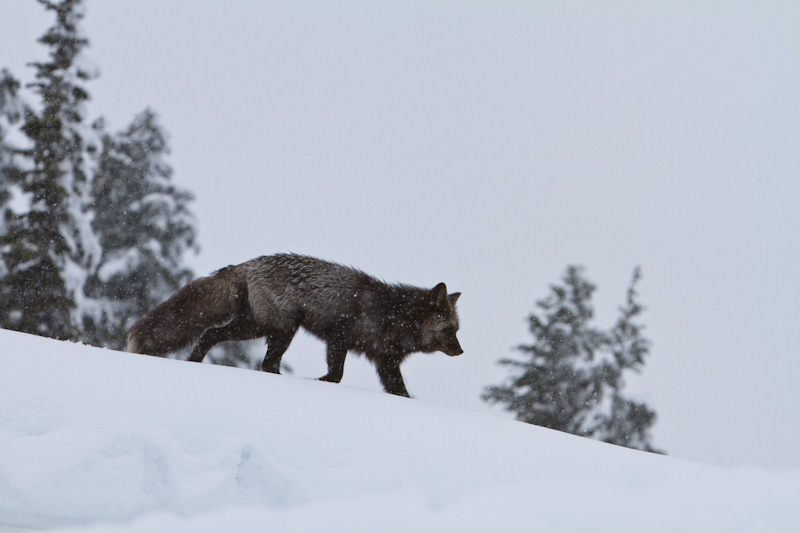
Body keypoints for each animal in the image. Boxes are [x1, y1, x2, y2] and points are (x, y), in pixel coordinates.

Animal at [126, 252, 462, 394]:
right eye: (450, 330)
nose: (461, 352)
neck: (394, 316)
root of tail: (249, 263)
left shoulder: (383, 360)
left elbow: (397, 391)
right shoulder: (339, 337)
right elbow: (337, 376)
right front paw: (317, 383)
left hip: (260, 327)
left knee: (214, 336)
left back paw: (195, 362)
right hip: (278, 329)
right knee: (260, 360)